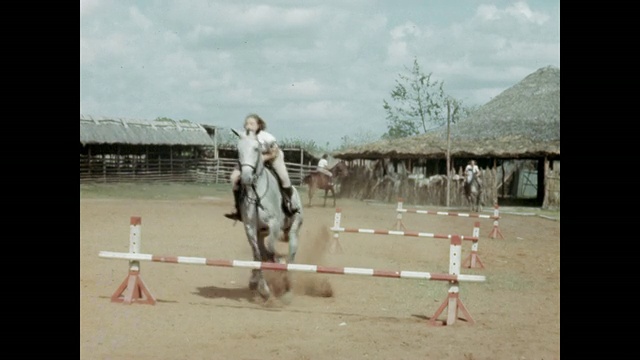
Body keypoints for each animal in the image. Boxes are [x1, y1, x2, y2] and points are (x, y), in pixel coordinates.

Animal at [234, 128, 304, 300]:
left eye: (256, 149)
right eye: (238, 150)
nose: (246, 178)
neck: (257, 193)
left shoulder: (274, 224)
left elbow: (271, 250)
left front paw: (278, 263)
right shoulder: (250, 228)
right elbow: (258, 255)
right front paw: (262, 288)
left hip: (293, 228)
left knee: (292, 251)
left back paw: (287, 282)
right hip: (261, 232)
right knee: (261, 251)